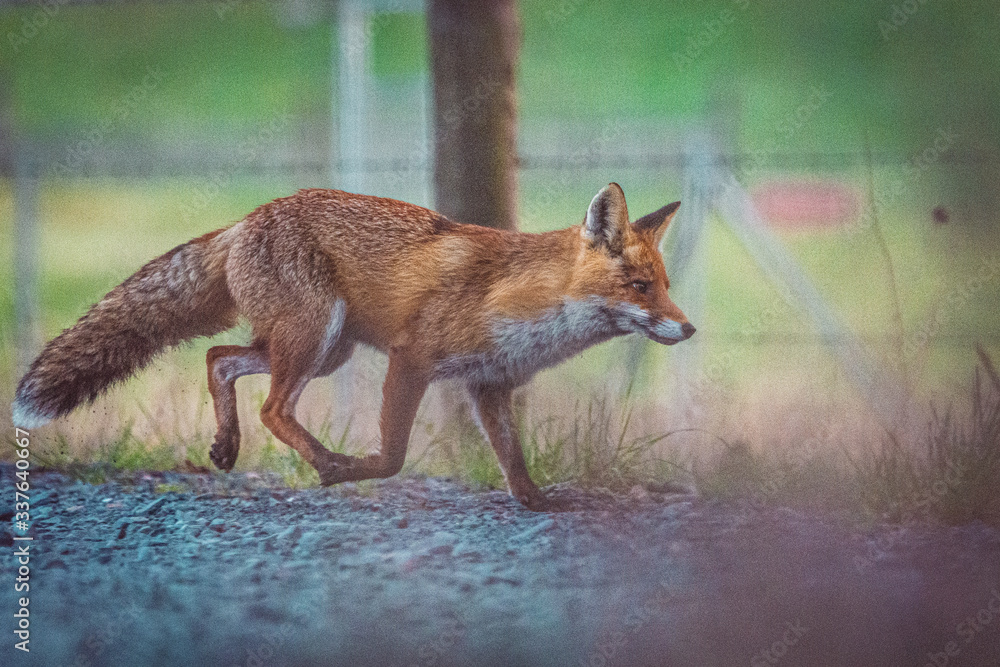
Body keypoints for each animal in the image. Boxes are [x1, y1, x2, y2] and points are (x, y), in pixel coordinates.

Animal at [12, 183, 693, 508]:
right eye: (640, 287)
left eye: (665, 286)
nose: (689, 330)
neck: (524, 301)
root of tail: (245, 219)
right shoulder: (411, 358)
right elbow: (392, 456)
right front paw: (352, 472)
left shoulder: (488, 383)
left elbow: (513, 459)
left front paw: (536, 504)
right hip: (315, 337)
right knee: (272, 408)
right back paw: (324, 461)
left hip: (324, 349)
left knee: (219, 360)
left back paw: (227, 444)